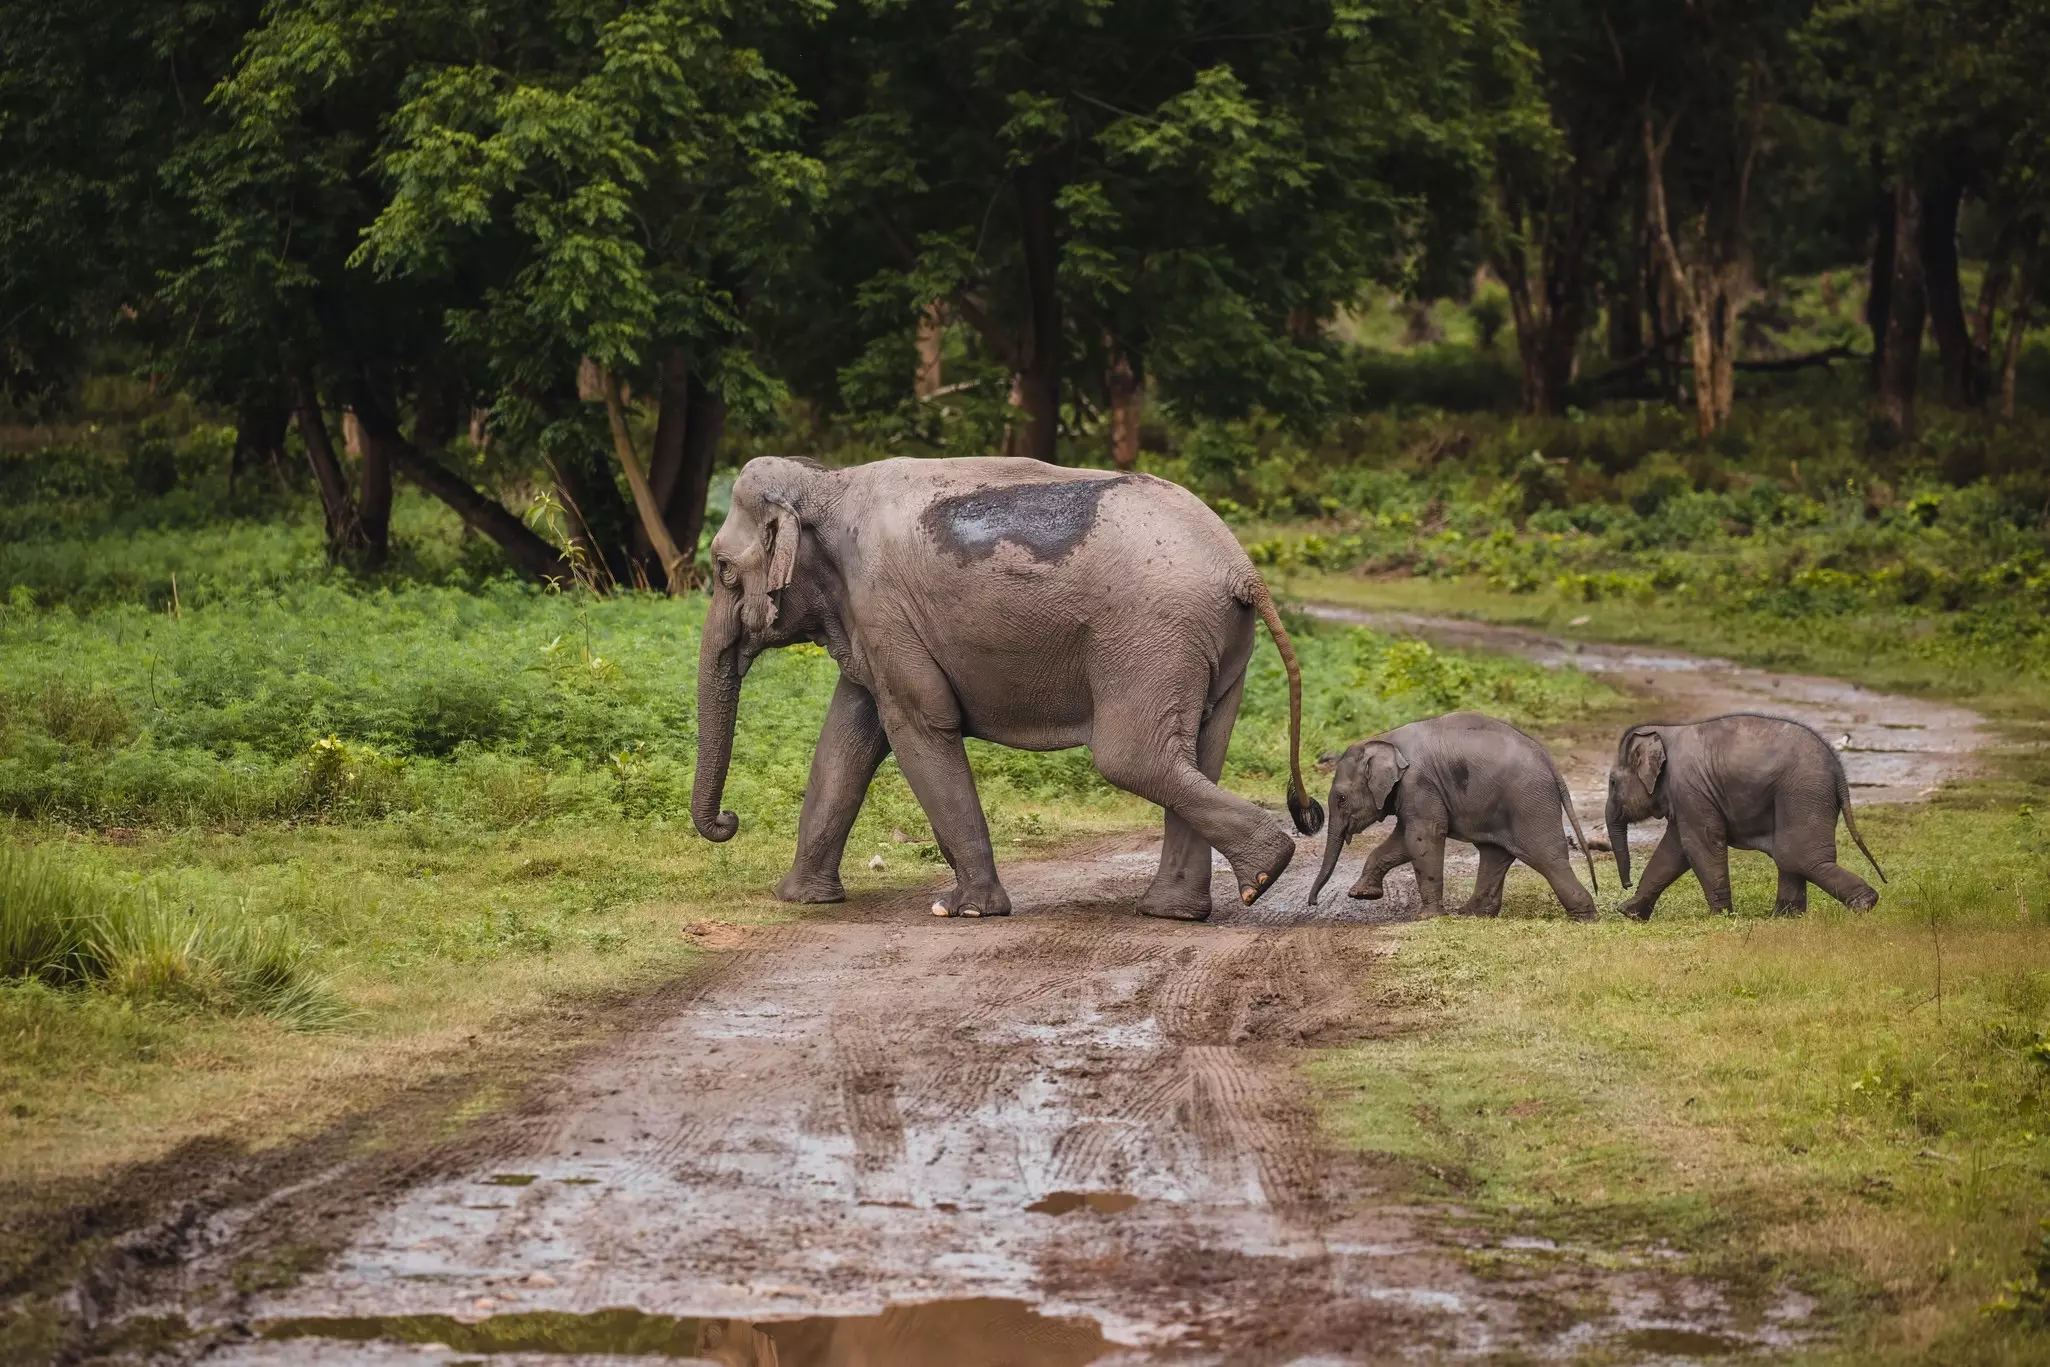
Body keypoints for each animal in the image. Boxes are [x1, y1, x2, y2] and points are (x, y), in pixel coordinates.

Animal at [690, 455, 1324, 922]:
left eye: (723, 570)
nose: (729, 821)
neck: (827, 481)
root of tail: (1240, 566)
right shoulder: (870, 620)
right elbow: (849, 738)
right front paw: (798, 899)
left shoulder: (882, 605)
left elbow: (919, 723)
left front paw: (965, 911)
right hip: (1214, 643)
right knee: (1198, 753)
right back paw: (1189, 907)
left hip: (1154, 634)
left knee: (1132, 757)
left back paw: (1265, 871)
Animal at [1305, 711, 1600, 920]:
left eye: (1341, 799)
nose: (1313, 902)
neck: (1386, 740)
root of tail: (1549, 761)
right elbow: (1403, 841)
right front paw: (1362, 894)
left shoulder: (1419, 783)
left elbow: (1423, 837)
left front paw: (1428, 918)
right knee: (1495, 854)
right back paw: (1471, 914)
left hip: (1529, 801)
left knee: (1546, 856)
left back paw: (1585, 917)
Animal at [1605, 712, 1886, 920]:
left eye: (1612, 782)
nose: (1626, 884)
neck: (1664, 731)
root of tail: (1840, 772)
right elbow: (1674, 849)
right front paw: (1629, 912)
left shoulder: (1690, 788)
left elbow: (1699, 844)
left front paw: (1720, 916)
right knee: (1790, 856)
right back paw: (1784, 917)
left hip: (1804, 793)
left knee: (1798, 855)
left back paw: (1864, 904)